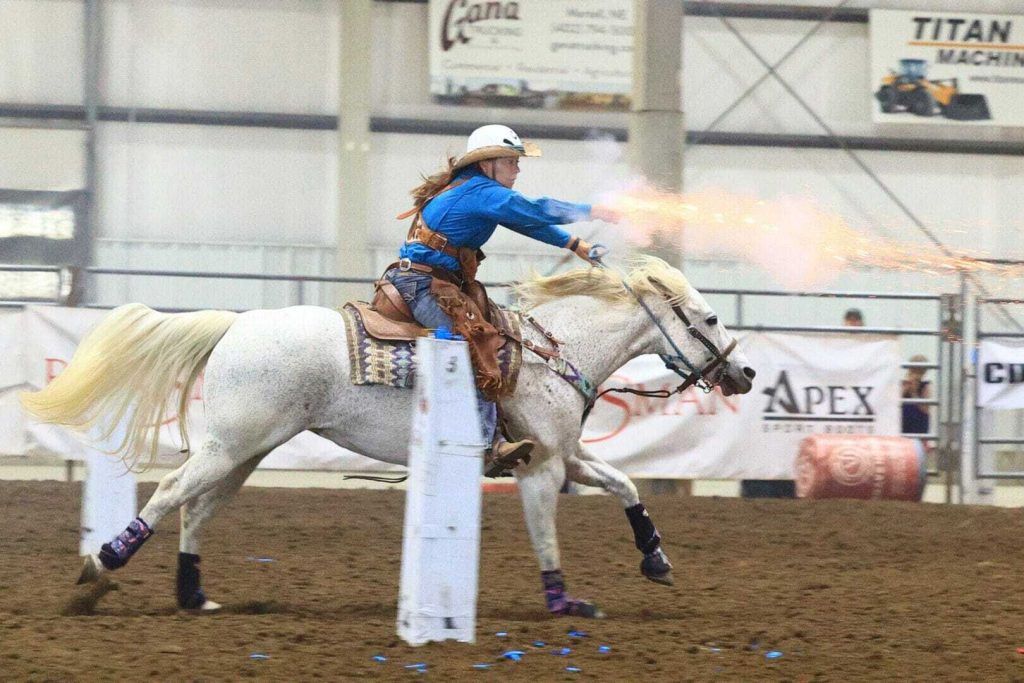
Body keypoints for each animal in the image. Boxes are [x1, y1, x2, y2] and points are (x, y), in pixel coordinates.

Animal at [22, 258, 753, 618]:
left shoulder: (565, 455)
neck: (554, 352)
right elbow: (547, 532)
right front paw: (563, 600)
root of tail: (237, 323)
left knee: (197, 509)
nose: (743, 372)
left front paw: (655, 559)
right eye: (711, 317)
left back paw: (194, 595)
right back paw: (99, 568)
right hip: (229, 446)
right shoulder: (541, 465)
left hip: (244, 451)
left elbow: (625, 484)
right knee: (173, 491)